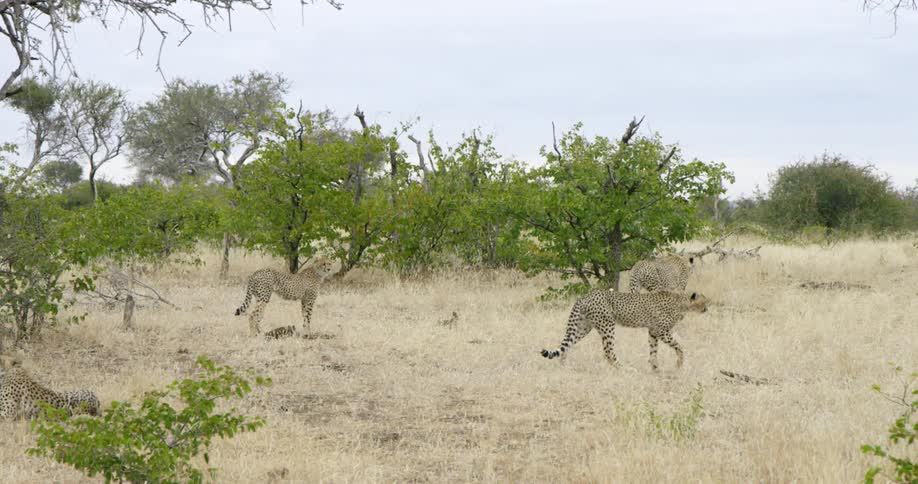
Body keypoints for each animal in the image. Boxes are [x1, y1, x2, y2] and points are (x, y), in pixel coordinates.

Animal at [541, 289, 708, 371]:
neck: (682, 303)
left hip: (583, 327)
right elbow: (679, 346)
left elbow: (653, 350)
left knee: (567, 344)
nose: (707, 309)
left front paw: (655, 367)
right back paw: (624, 369)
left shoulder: (653, 331)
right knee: (608, 352)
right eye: (703, 301)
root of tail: (586, 295)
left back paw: (563, 365)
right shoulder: (661, 331)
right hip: (607, 326)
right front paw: (679, 363)